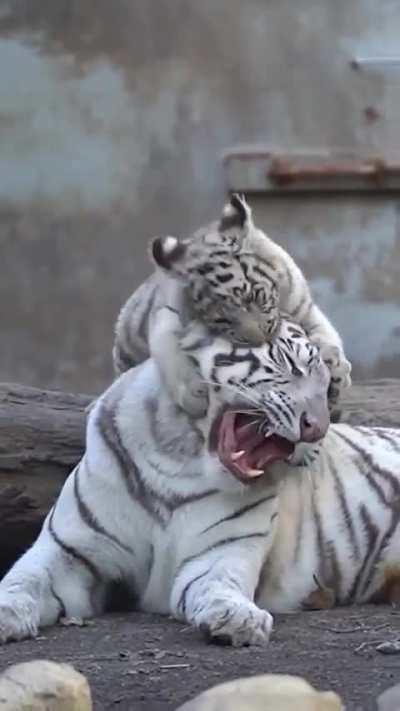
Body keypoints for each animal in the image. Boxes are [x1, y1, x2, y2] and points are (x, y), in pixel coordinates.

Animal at [0, 317, 398, 647]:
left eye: (329, 388)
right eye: (291, 365)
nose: (317, 427)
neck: (176, 461)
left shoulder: (220, 552)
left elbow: (219, 584)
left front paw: (238, 619)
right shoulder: (66, 550)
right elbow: (23, 579)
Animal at [113, 193, 351, 420]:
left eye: (256, 297)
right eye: (222, 319)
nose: (259, 340)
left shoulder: (304, 308)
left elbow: (325, 335)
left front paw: (335, 369)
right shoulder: (167, 315)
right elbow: (170, 353)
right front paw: (195, 396)